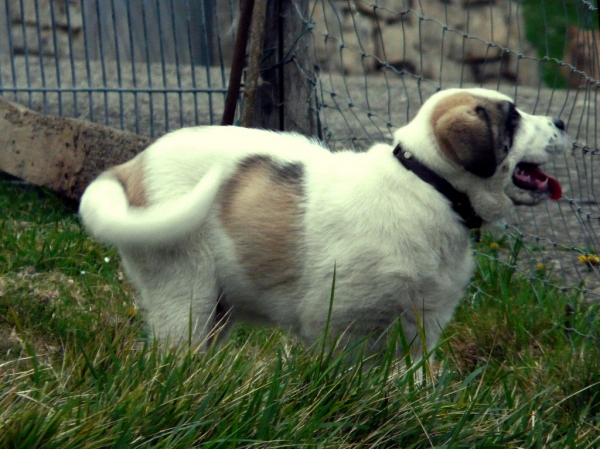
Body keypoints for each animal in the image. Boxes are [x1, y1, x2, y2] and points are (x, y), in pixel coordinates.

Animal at [78, 87, 568, 360]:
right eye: (513, 117)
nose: (562, 121)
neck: (427, 184)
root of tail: (130, 167)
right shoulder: (339, 324)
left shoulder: (422, 328)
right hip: (184, 291)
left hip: (216, 307)